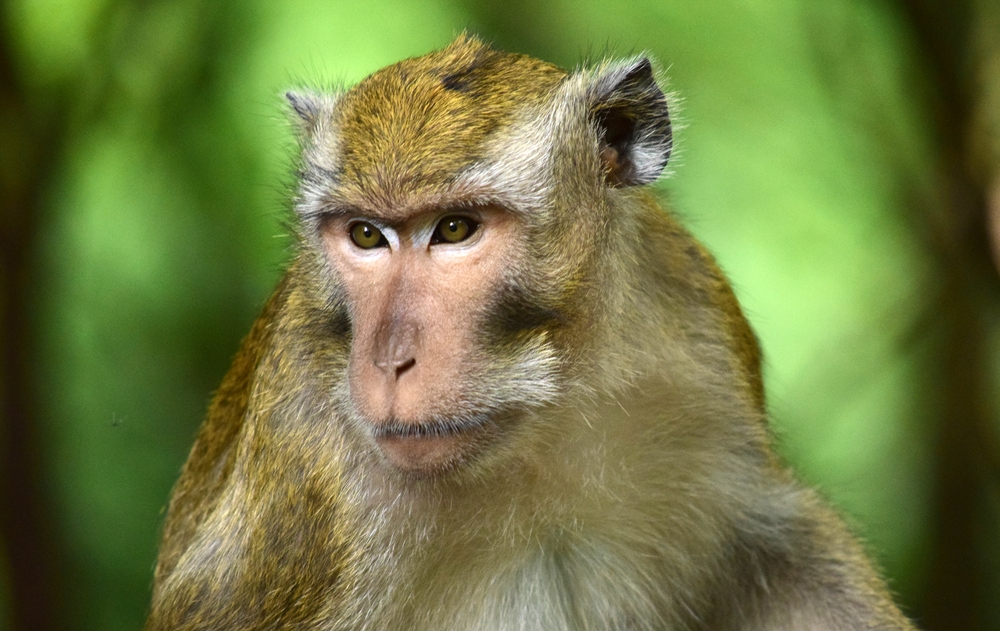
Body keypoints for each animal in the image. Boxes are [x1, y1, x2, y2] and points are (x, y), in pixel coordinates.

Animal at [145, 34, 917, 631]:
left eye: (455, 228)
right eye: (365, 235)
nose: (390, 359)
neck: (537, 423)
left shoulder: (698, 337)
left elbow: (782, 551)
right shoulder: (311, 490)